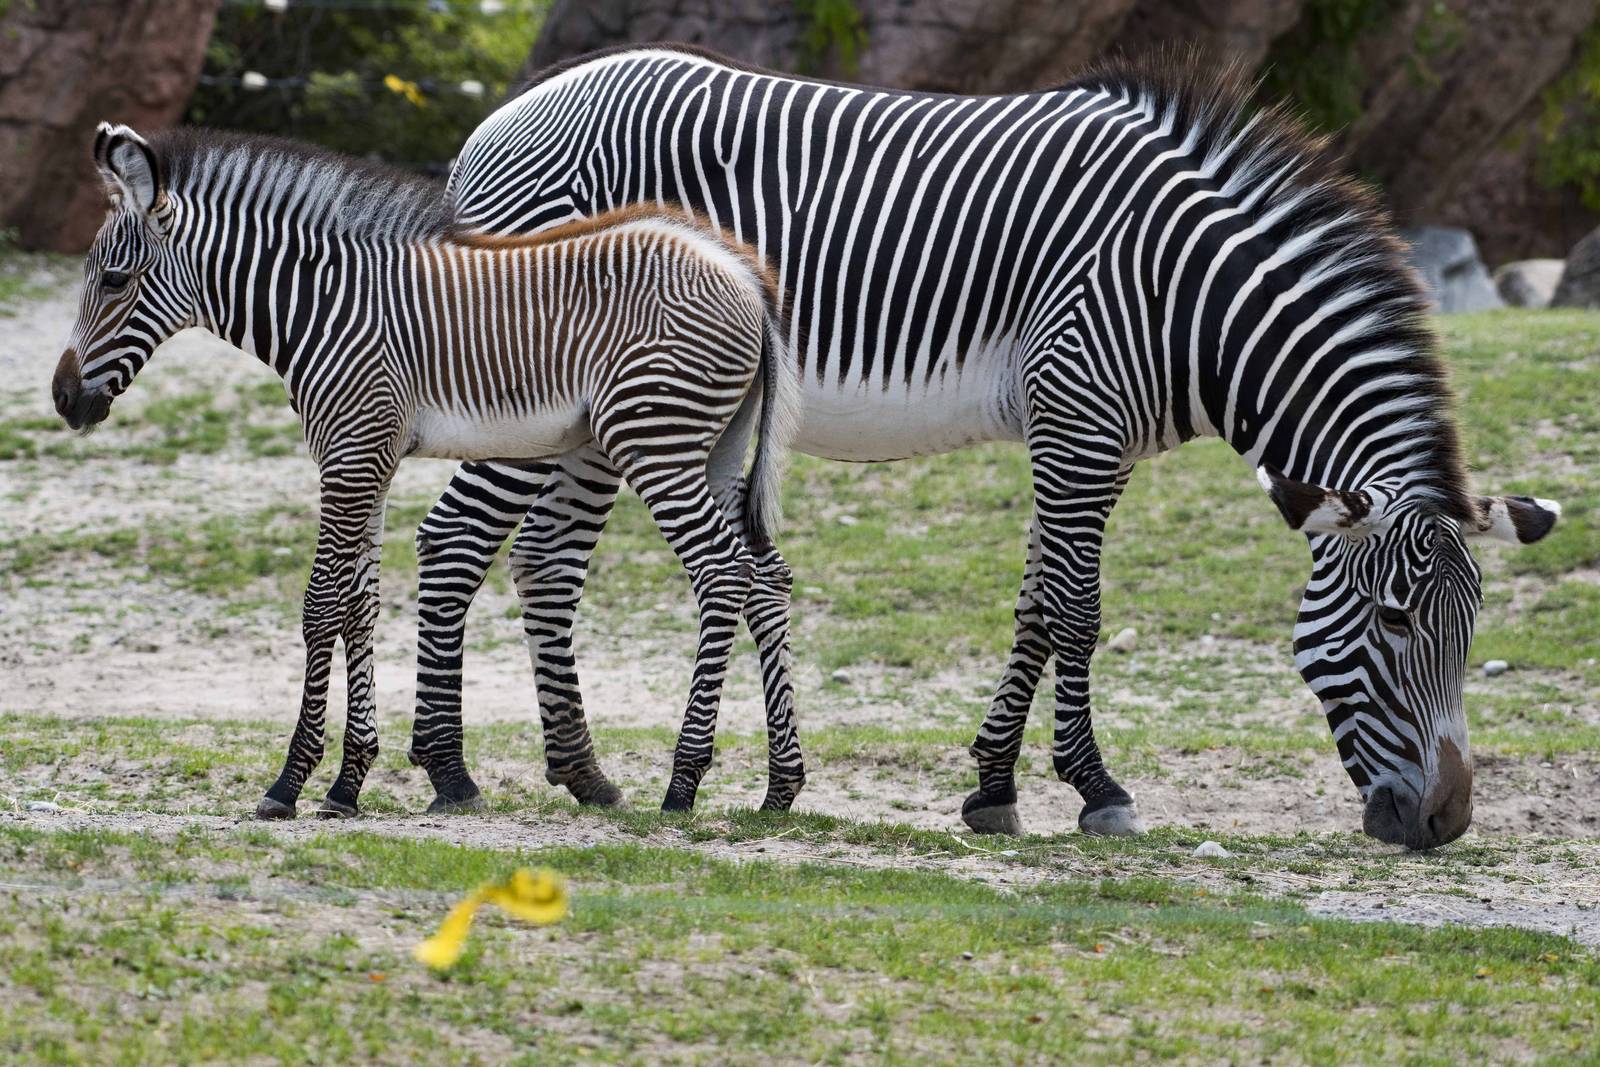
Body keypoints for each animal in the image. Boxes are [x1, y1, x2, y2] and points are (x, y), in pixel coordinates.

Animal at [51, 123, 802, 819]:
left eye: (113, 281)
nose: (62, 399)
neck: (321, 307)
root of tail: (742, 275)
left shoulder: (351, 452)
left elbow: (320, 607)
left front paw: (289, 783)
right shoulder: (367, 456)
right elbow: (360, 605)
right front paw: (348, 783)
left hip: (655, 439)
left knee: (720, 570)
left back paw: (684, 781)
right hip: (714, 447)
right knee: (760, 572)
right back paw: (777, 785)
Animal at [401, 46, 1561, 850]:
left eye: (1473, 626)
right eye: (1395, 619)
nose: (1448, 822)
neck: (1190, 298)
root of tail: (499, 118)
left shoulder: (1088, 436)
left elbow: (1038, 603)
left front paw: (996, 784)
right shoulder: (1079, 416)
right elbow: (1077, 610)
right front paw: (1094, 789)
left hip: (601, 407)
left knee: (545, 561)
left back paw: (584, 772)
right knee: (454, 540)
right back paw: (447, 769)